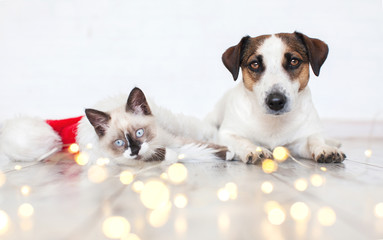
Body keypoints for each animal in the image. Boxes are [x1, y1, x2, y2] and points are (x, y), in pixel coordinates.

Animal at [207, 31, 348, 163]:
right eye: (254, 64)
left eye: (294, 61)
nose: (275, 101)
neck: (275, 122)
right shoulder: (226, 134)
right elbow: (241, 140)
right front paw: (255, 149)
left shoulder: (302, 140)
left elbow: (313, 140)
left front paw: (325, 148)